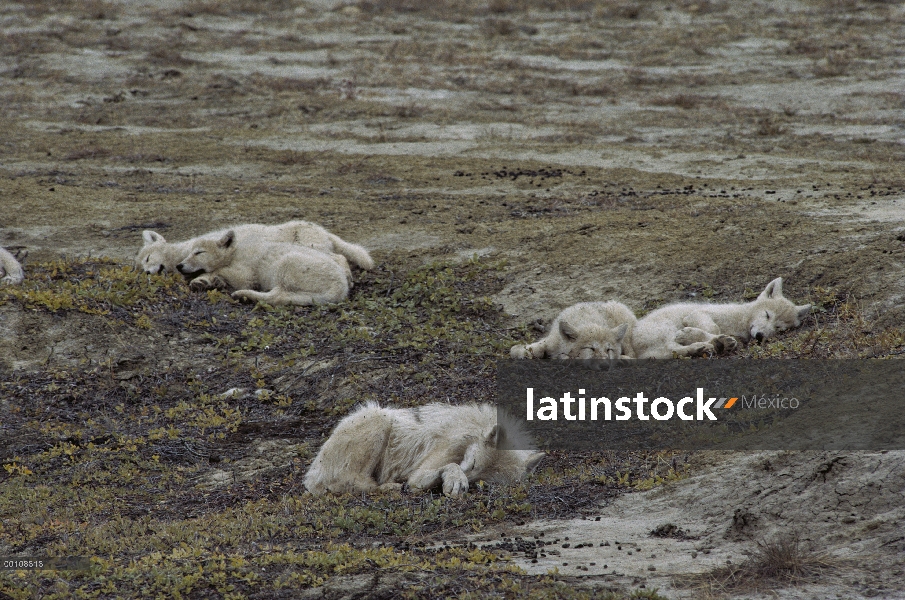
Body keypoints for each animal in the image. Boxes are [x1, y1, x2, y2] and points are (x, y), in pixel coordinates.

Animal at [176, 229, 350, 308]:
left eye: (199, 252)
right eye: (190, 252)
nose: (179, 266)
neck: (235, 251)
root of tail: (340, 288)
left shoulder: (246, 269)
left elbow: (231, 274)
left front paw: (208, 279)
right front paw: (203, 282)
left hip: (290, 264)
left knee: (277, 295)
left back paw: (243, 295)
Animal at [304, 404, 544, 496]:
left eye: (483, 480)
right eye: (474, 464)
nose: (467, 481)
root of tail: (310, 476)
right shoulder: (427, 466)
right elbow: (451, 465)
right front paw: (455, 481)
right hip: (378, 418)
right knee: (347, 482)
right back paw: (392, 487)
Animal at [508, 300, 636, 366]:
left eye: (608, 349)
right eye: (591, 348)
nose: (605, 366)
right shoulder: (552, 340)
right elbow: (533, 348)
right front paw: (521, 352)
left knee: (633, 354)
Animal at [628, 278, 812, 358]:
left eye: (779, 328)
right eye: (767, 314)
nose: (760, 336)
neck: (742, 318)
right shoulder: (697, 314)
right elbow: (713, 328)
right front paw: (692, 334)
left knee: (671, 351)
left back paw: (706, 347)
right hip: (663, 327)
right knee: (671, 346)